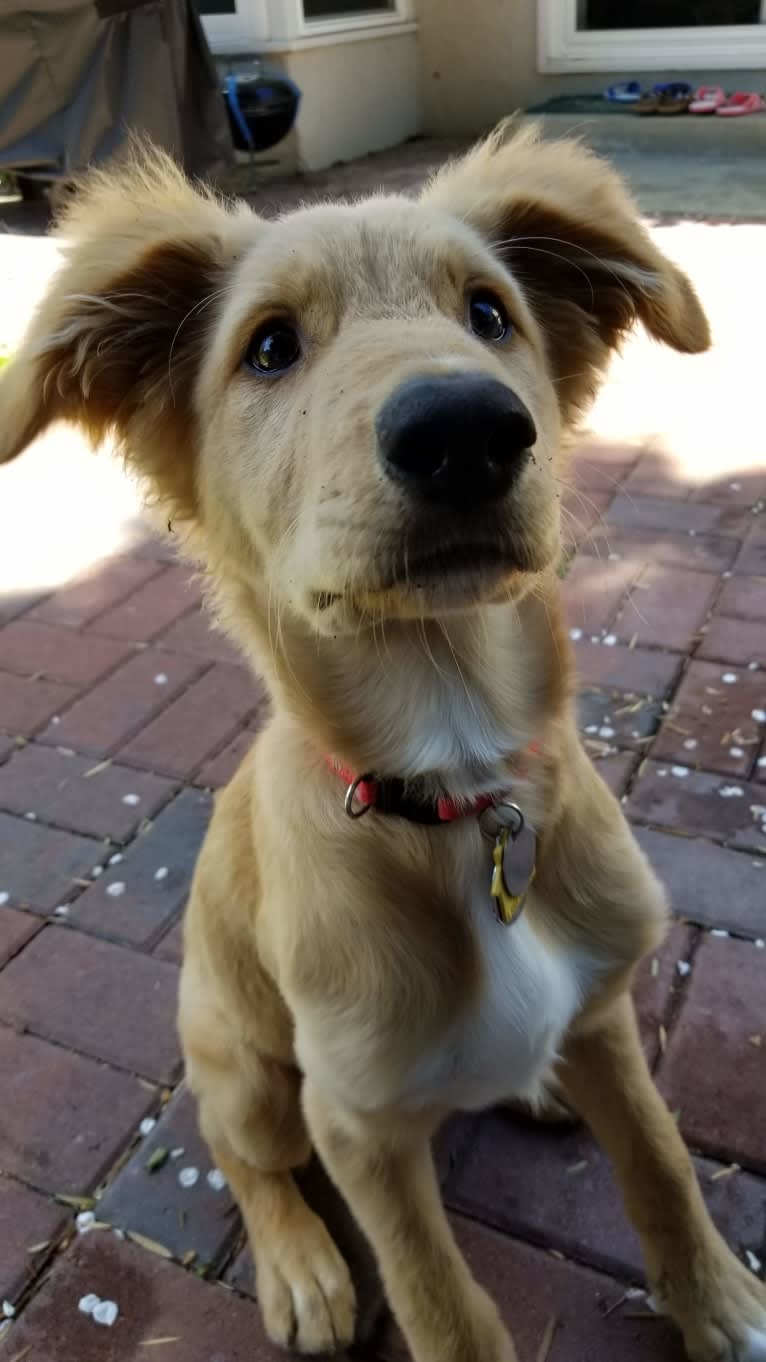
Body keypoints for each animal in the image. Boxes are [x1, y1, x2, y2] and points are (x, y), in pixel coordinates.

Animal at [2, 125, 757, 1362]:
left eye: (490, 313)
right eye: (269, 347)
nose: (466, 431)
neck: (457, 782)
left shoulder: (607, 1008)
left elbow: (659, 1162)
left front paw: (720, 1303)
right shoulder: (354, 1120)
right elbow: (438, 1301)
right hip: (249, 1070)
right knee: (240, 1153)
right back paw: (301, 1268)